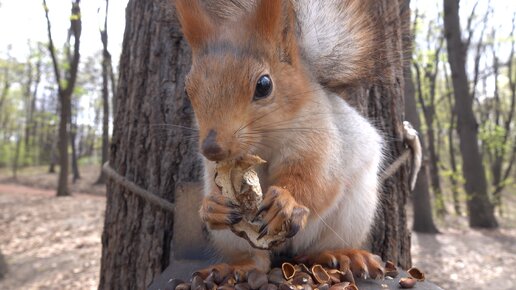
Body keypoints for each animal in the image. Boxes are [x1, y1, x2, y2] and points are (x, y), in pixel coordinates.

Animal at [175, 0, 384, 278]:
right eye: (188, 90)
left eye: (264, 85)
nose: (212, 148)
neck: (264, 143)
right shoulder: (215, 168)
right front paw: (212, 207)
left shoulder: (320, 138)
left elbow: (317, 181)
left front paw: (286, 201)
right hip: (234, 239)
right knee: (257, 261)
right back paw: (238, 266)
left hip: (353, 213)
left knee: (319, 247)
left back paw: (342, 254)